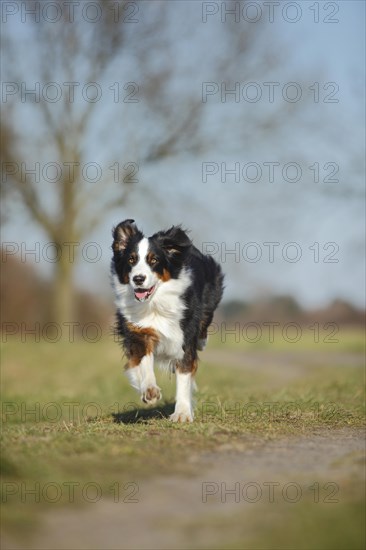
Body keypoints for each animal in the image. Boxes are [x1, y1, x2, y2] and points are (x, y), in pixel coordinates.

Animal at [109, 219, 223, 422]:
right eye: (131, 260)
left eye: (154, 260)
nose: (138, 278)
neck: (155, 304)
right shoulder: (138, 331)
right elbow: (143, 361)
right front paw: (149, 390)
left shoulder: (184, 337)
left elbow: (184, 372)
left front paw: (182, 413)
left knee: (205, 321)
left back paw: (202, 341)